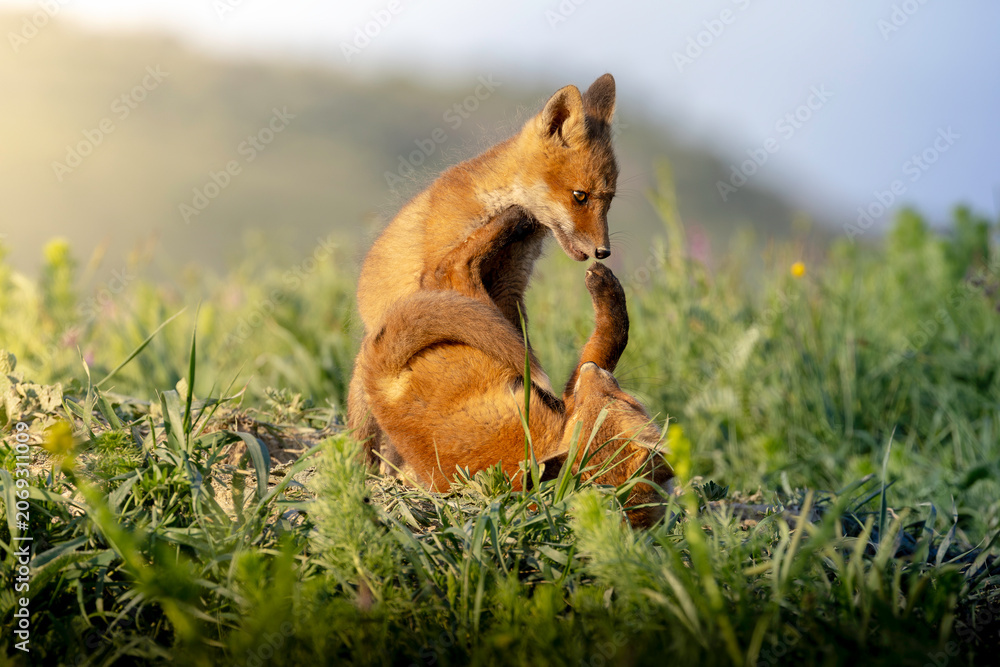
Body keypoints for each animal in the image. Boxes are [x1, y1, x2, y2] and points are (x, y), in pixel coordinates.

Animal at [348, 74, 621, 465]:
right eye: (579, 196)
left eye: (609, 200)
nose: (604, 251)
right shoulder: (437, 270)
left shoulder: (509, 285)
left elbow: (513, 337)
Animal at [360, 259, 673, 528]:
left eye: (620, 400)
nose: (590, 370)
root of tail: (380, 382)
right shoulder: (568, 400)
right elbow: (611, 340)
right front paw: (606, 287)